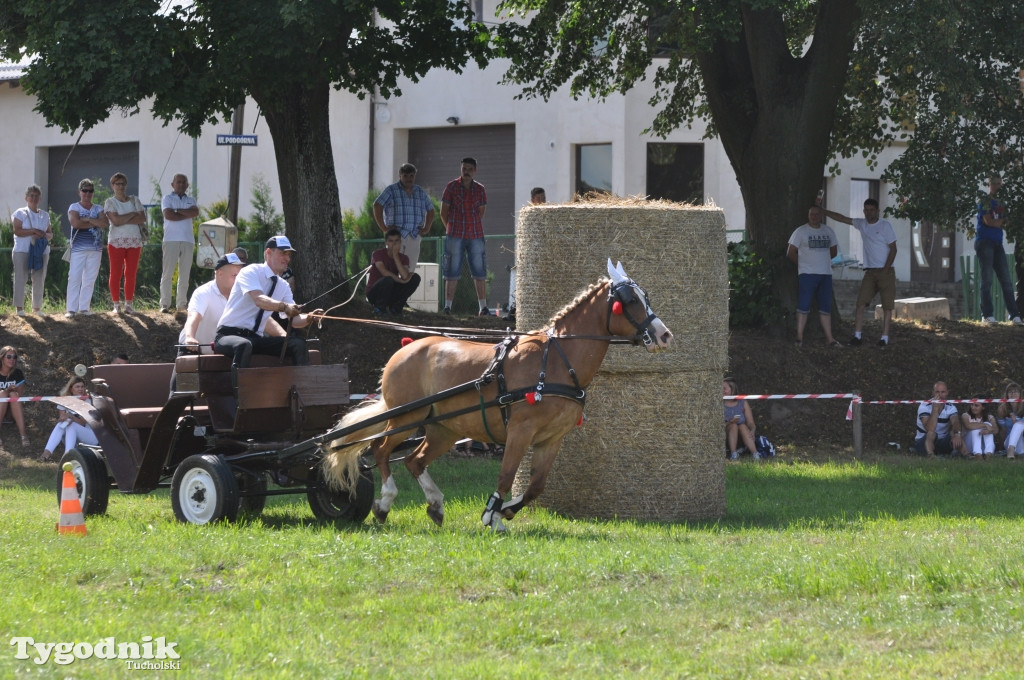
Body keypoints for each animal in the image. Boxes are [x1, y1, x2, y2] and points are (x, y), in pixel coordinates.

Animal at [321, 260, 671, 532]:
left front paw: (505, 510)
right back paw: (385, 503)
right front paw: (493, 514)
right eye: (630, 300)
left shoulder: (551, 439)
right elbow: (505, 476)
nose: (664, 335)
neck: (555, 362)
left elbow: (535, 487)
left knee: (413, 459)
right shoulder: (519, 430)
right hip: (406, 416)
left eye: (646, 296)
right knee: (380, 450)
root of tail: (405, 348)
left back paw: (435, 504)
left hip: (443, 429)